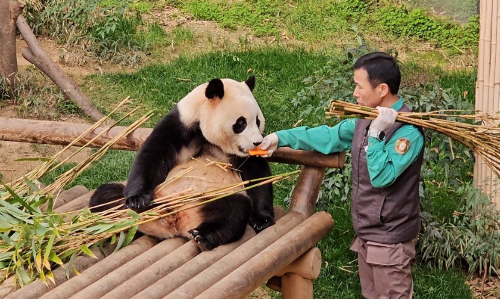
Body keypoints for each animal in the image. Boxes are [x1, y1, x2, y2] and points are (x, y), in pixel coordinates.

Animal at [92, 77, 276, 251]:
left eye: (257, 121)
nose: (257, 142)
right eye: (241, 123)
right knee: (104, 195)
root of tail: (176, 219)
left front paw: (262, 220)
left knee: (234, 209)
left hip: (212, 195)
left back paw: (204, 236)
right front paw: (138, 200)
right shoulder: (179, 123)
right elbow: (152, 156)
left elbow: (257, 176)